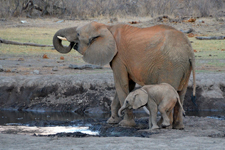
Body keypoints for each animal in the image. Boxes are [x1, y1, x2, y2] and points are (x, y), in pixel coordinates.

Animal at [52, 21, 195, 129]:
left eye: (77, 34)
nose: (72, 44)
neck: (107, 28)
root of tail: (190, 52)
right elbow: (126, 85)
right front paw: (112, 121)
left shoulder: (119, 57)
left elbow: (122, 84)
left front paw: (124, 124)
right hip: (183, 67)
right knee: (181, 94)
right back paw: (178, 127)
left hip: (171, 66)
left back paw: (163, 126)